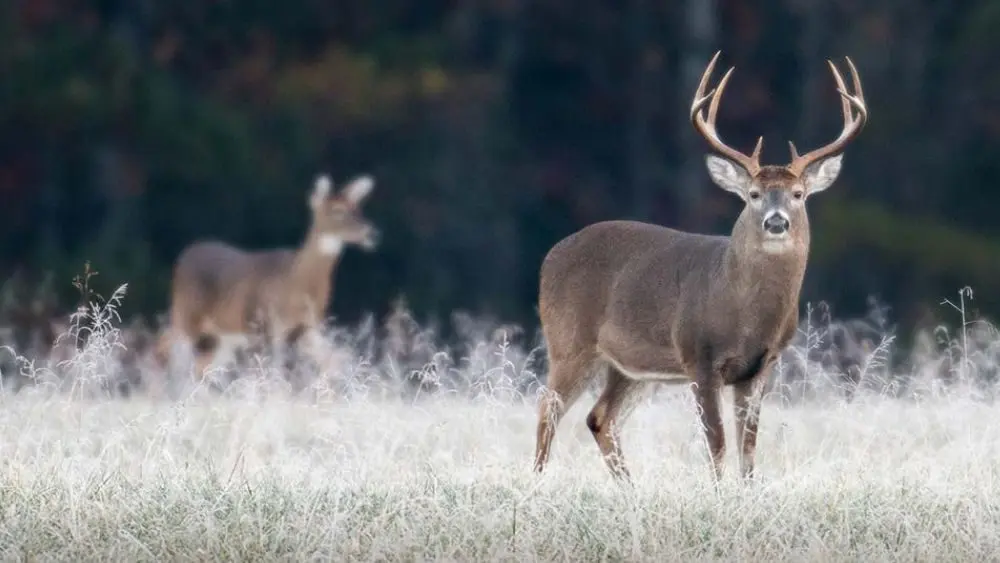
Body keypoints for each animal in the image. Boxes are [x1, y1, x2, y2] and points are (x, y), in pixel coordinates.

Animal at [155, 173, 380, 383]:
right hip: (187, 314)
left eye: (359, 209)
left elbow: (335, 361)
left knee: (197, 366)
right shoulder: (262, 324)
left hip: (222, 334)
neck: (296, 282)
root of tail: (184, 255)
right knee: (174, 357)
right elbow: (270, 373)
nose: (372, 234)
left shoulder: (308, 327)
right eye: (337, 211)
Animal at [532, 51, 867, 482]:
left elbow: (748, 450)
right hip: (569, 340)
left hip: (630, 366)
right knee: (548, 410)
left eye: (798, 194)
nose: (776, 222)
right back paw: (537, 482)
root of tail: (549, 257)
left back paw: (630, 490)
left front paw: (745, 490)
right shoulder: (699, 357)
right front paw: (718, 492)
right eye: (753, 194)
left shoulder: (761, 366)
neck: (743, 312)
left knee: (600, 417)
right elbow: (717, 445)